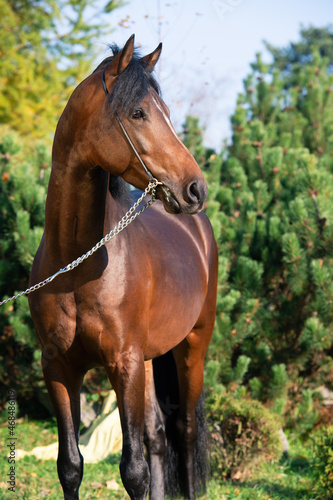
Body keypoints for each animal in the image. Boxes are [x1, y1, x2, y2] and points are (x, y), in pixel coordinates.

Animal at [29, 33, 218, 498]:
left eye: (165, 111)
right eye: (138, 113)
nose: (196, 189)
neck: (77, 266)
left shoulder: (123, 364)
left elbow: (132, 470)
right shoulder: (58, 368)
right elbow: (70, 465)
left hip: (193, 347)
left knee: (184, 433)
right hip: (148, 361)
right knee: (157, 434)